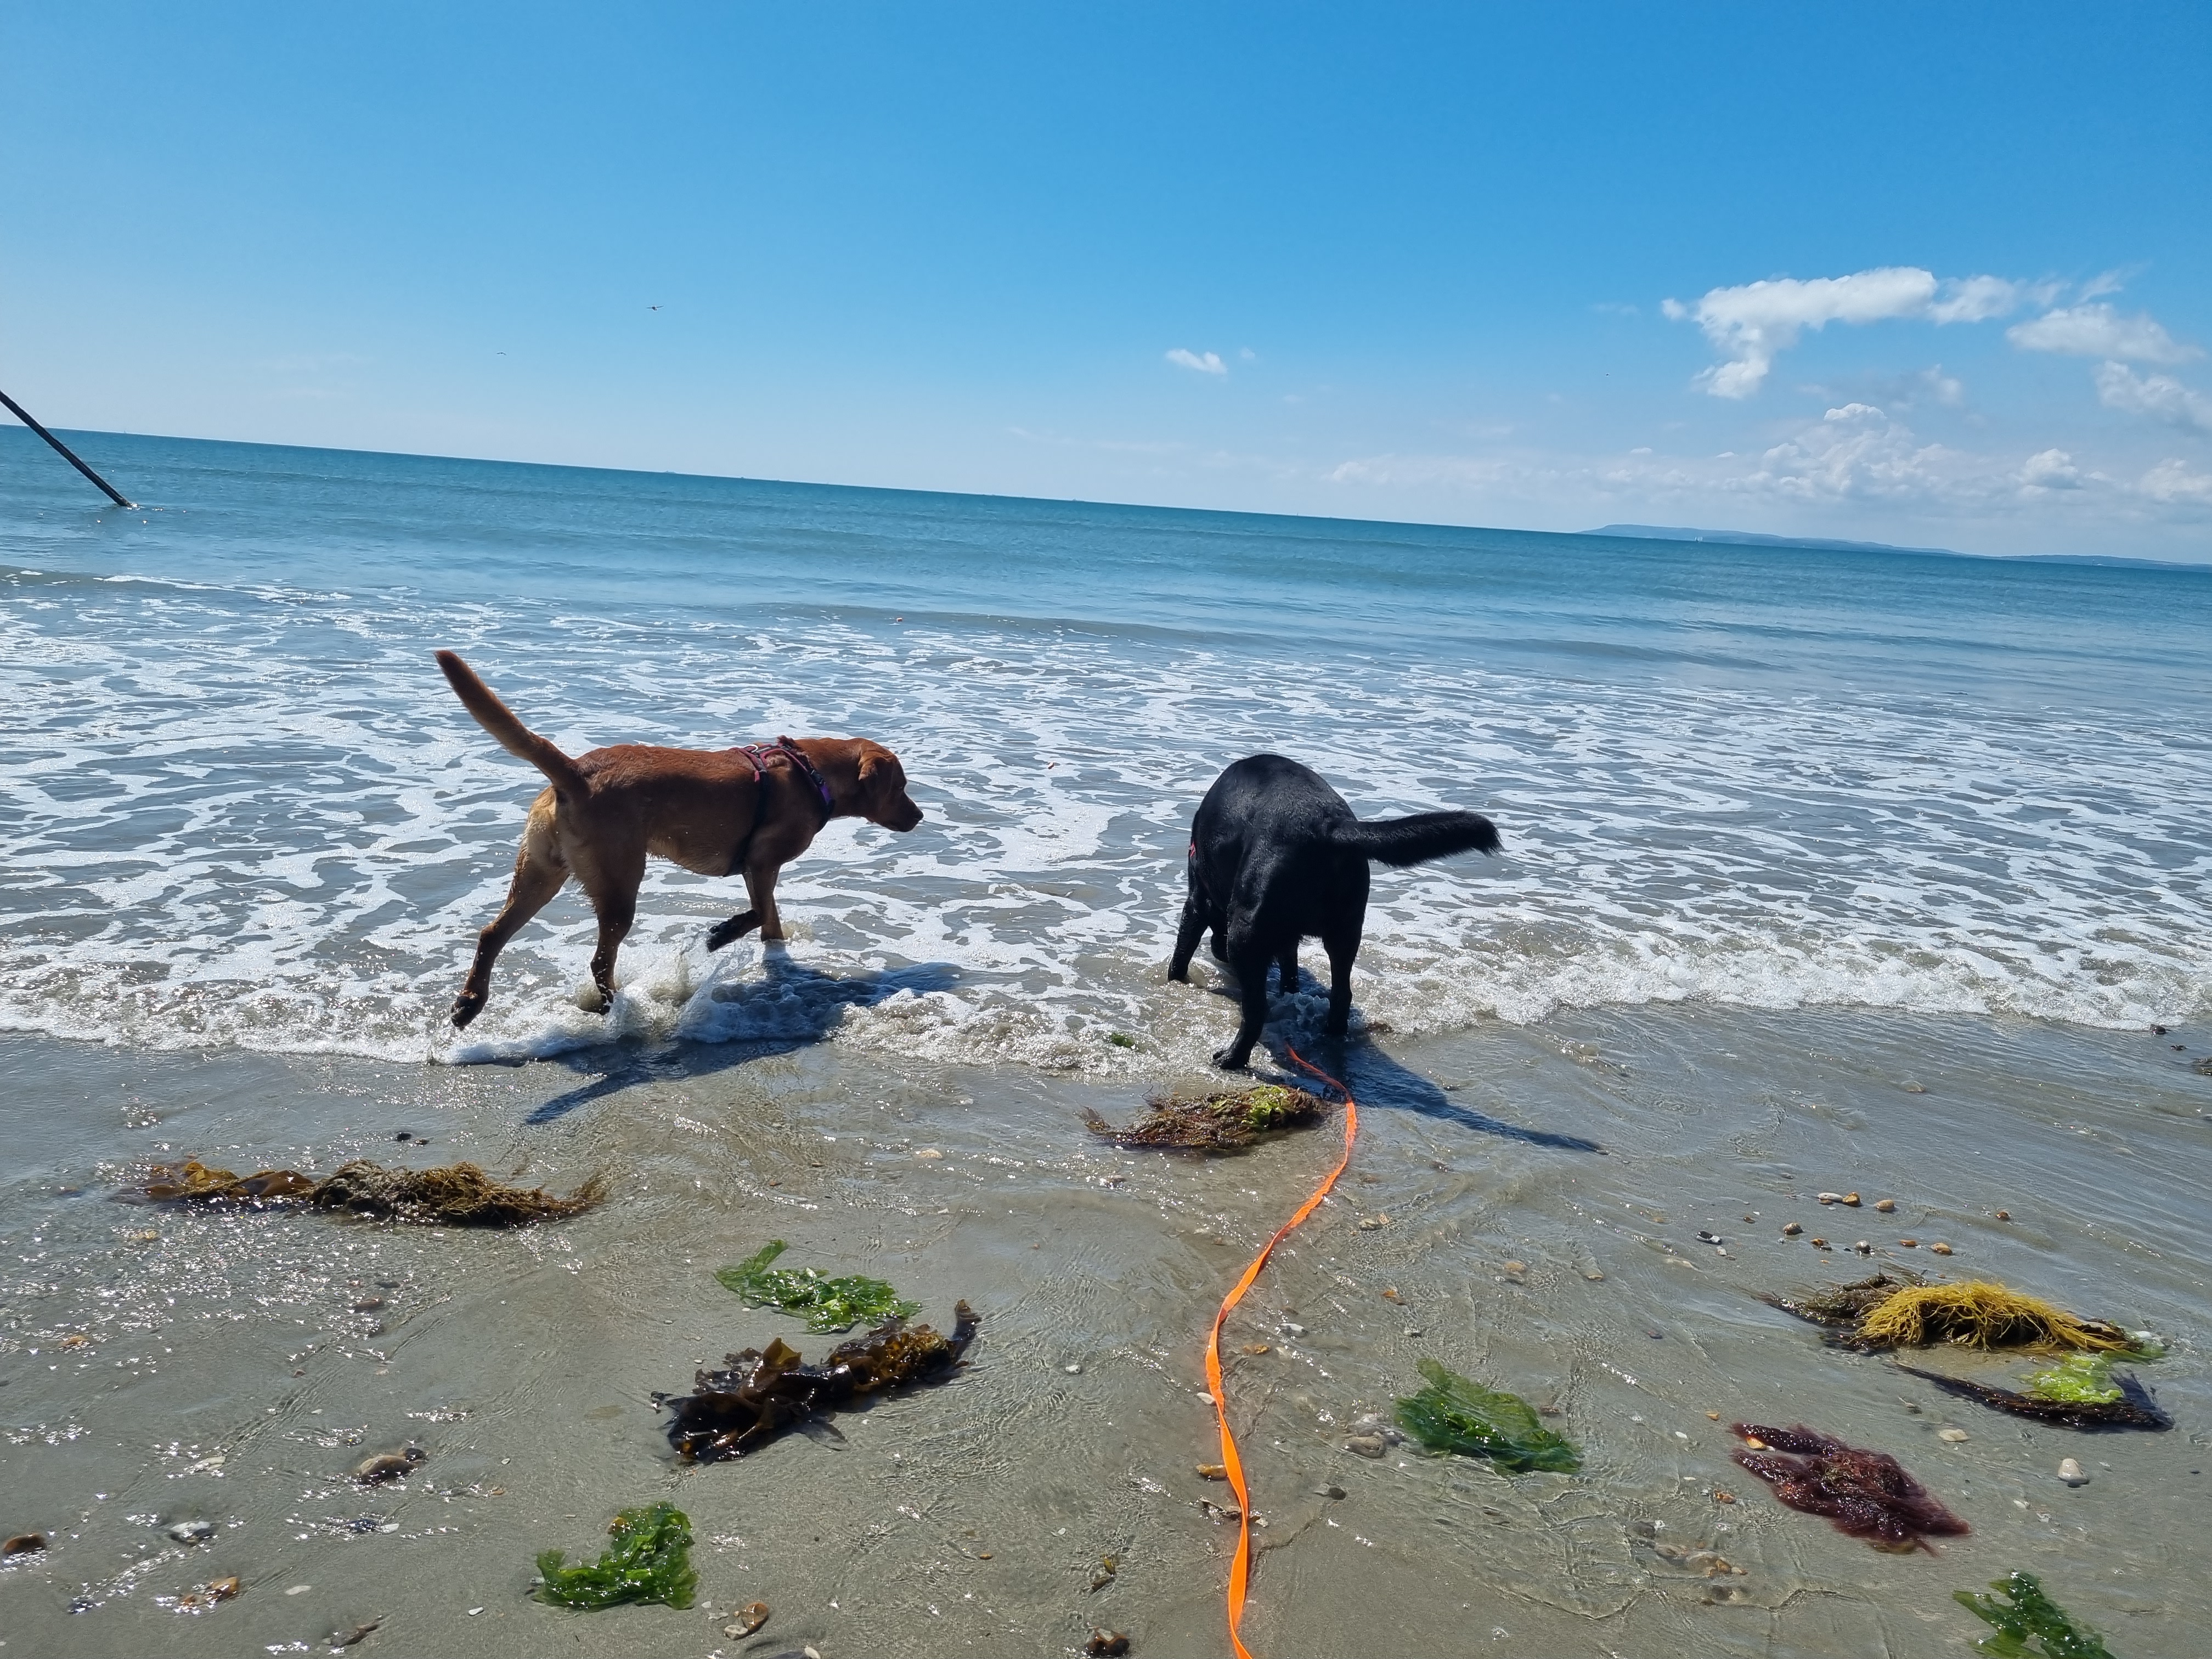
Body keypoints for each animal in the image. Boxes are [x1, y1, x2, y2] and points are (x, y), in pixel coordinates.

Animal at [436, 654, 920, 1035]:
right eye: (900, 787)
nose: (919, 817)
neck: (811, 772)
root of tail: (575, 771)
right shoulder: (761, 862)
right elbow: (760, 910)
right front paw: (723, 934)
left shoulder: (759, 869)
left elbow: (771, 921)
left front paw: (773, 952)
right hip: (618, 882)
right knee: (600, 960)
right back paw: (616, 1008)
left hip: (540, 872)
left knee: (492, 933)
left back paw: (471, 1002)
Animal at [1167, 756, 1495, 1070]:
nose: (1218, 950)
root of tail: (1329, 828)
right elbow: (1290, 969)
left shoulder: (1198, 900)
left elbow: (1182, 951)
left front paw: (1173, 981)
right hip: (1345, 931)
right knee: (1342, 995)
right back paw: (1331, 1036)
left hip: (1244, 932)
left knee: (1257, 1010)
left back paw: (1232, 1058)